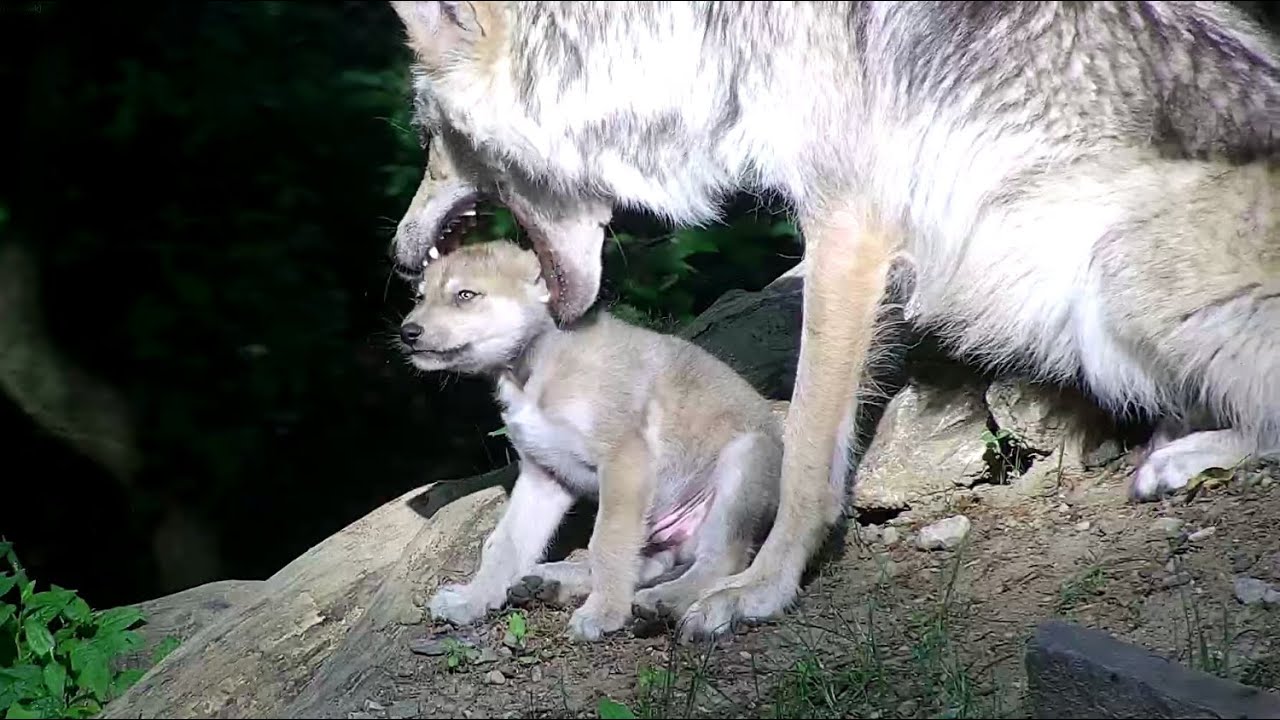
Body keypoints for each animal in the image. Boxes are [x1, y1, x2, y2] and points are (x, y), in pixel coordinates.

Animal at [400, 240, 783, 641]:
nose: (407, 332)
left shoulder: (624, 462)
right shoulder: (542, 476)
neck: (534, 374)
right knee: (649, 564)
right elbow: (505, 543)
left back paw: (663, 599)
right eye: (420, 296)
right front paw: (473, 599)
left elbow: (607, 541)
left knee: (720, 560)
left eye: (465, 295)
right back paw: (549, 581)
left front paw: (604, 613)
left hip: (744, 460)